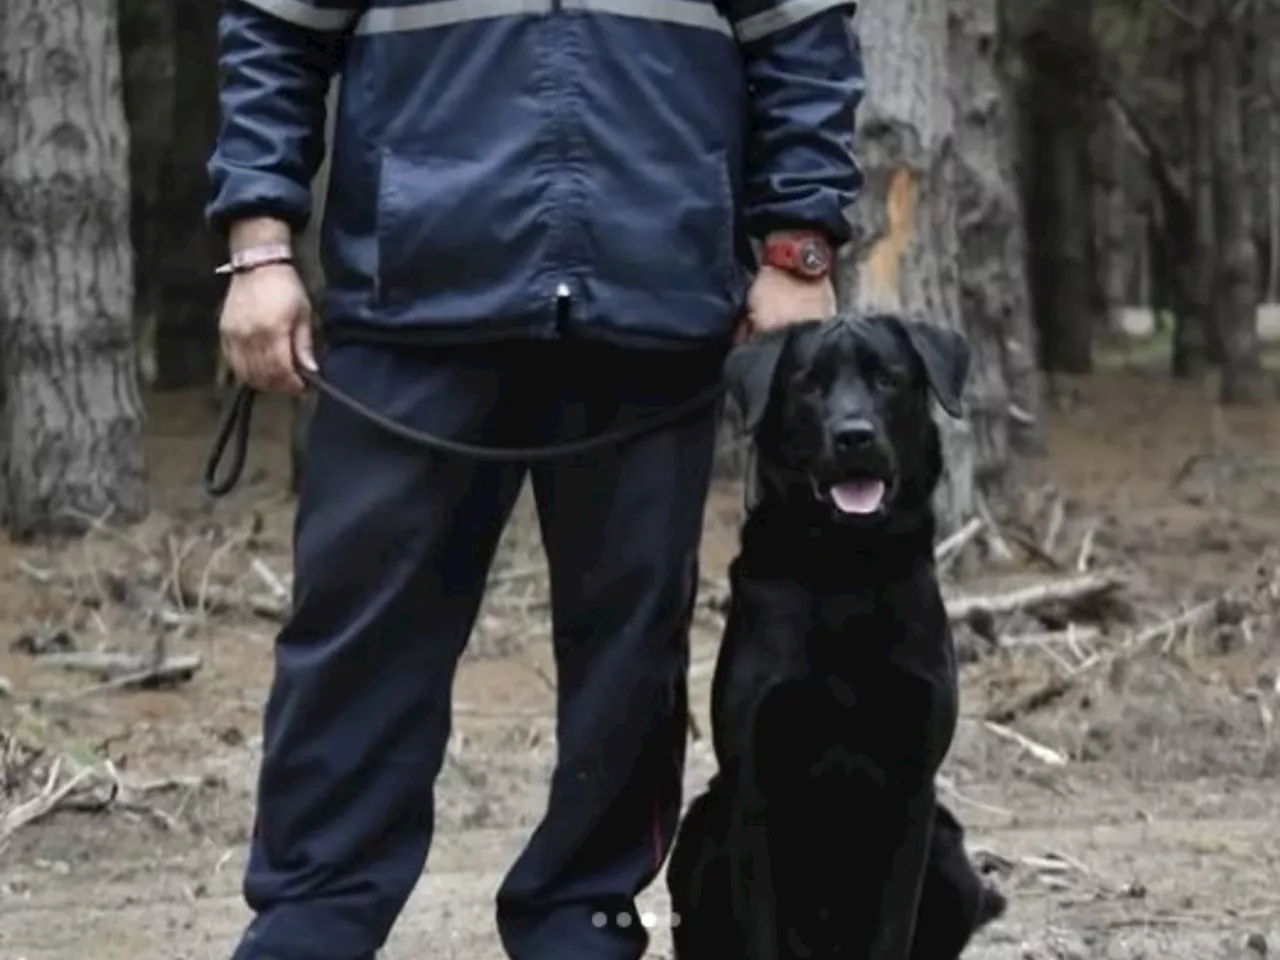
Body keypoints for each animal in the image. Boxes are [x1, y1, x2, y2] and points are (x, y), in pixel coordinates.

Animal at [665, 316, 1003, 960]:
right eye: (809, 384)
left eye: (887, 379)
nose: (854, 436)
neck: (848, 571)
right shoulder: (754, 788)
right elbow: (760, 929)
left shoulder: (914, 792)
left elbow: (893, 928)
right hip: (700, 832)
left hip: (950, 855)